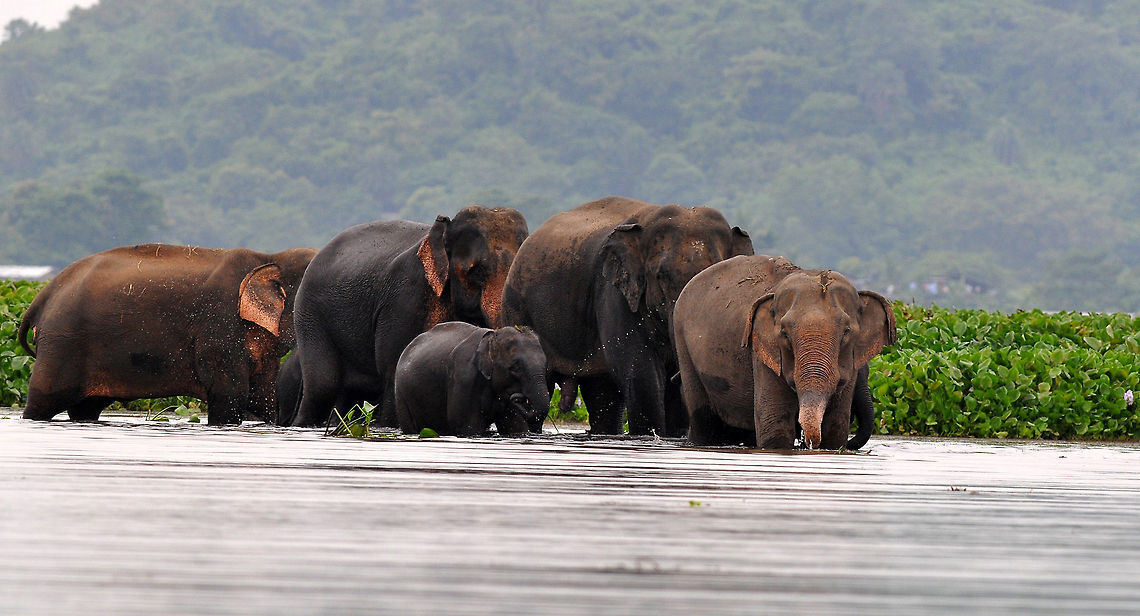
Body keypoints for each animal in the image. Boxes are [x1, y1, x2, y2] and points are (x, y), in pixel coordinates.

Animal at [19, 244, 316, 425]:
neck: (271, 258)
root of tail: (42, 296)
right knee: (44, 400)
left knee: (85, 407)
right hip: (62, 343)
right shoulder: (219, 327)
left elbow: (264, 397)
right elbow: (230, 396)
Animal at [394, 322, 550, 436]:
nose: (518, 397)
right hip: (401, 396)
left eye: (545, 365)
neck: (492, 336)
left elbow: (515, 426)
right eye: (515, 368)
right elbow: (467, 426)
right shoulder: (463, 377)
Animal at [673, 255, 896, 449]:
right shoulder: (762, 355)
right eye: (785, 334)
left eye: (846, 333)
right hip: (682, 344)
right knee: (703, 422)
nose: (807, 443)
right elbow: (775, 429)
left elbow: (835, 432)